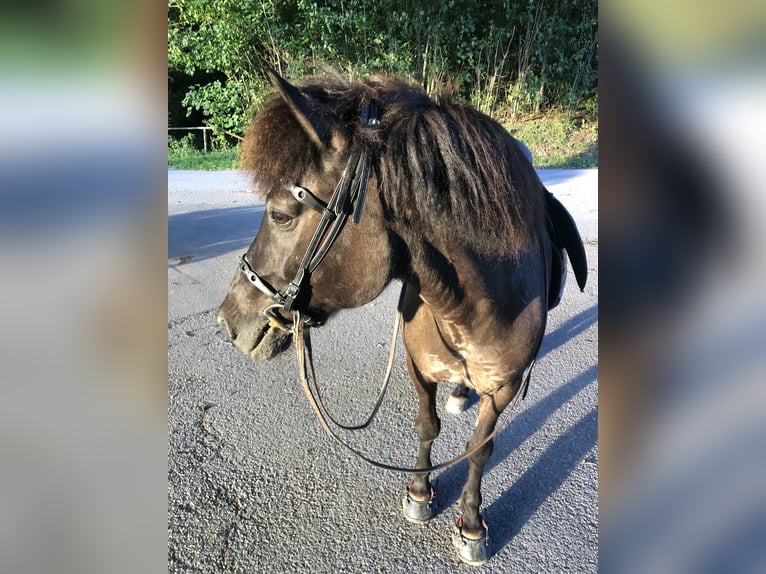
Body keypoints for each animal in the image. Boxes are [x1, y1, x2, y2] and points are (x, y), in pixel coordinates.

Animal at [216, 68, 588, 568]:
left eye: (280, 215)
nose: (228, 320)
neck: (473, 306)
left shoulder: (505, 388)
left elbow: (480, 450)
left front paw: (472, 524)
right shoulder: (417, 367)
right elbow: (427, 426)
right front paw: (419, 491)